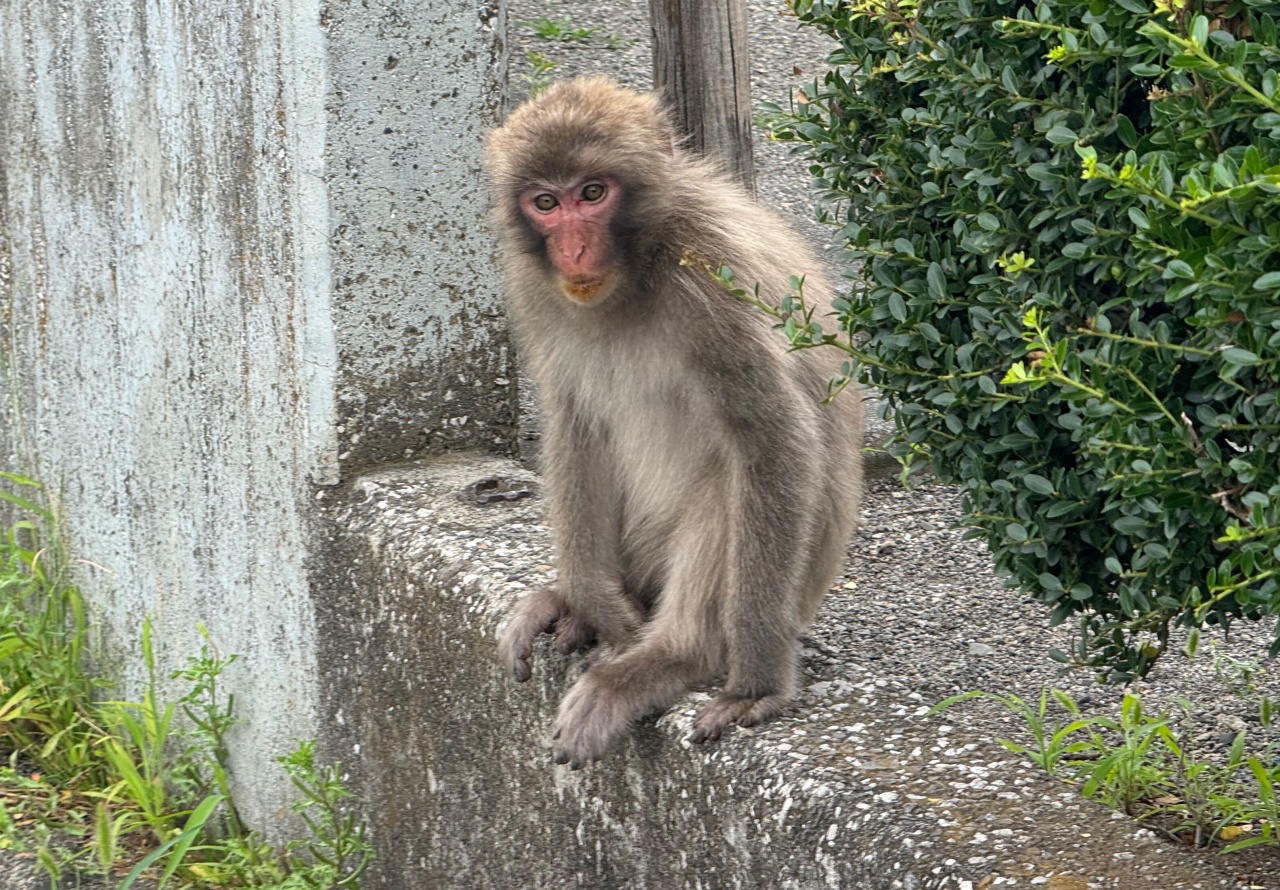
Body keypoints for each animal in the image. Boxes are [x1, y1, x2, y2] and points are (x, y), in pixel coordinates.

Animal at [483, 80, 865, 768]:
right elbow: (573, 420)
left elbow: (772, 437)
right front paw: (592, 599)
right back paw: (574, 607)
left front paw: (757, 685)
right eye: (546, 202)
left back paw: (674, 657)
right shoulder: (532, 288)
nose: (573, 250)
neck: (635, 266)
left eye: (593, 193)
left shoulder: (711, 278)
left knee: (730, 487)